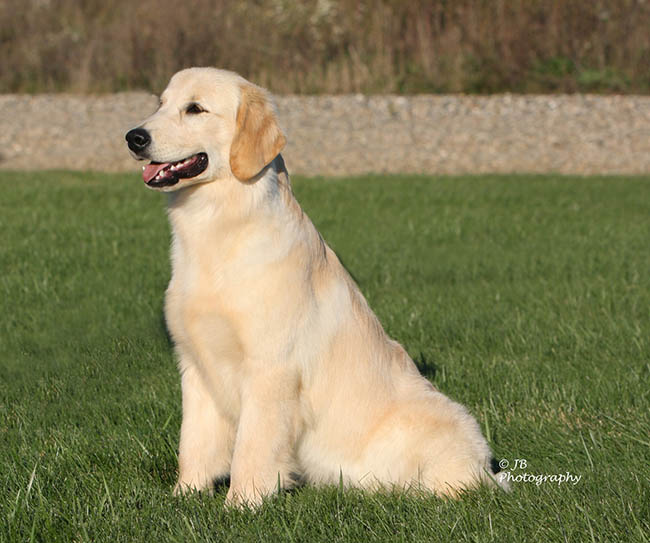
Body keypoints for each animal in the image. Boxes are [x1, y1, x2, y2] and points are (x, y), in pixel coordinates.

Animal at [124, 69, 504, 510]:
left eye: (195, 109)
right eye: (160, 104)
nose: (133, 137)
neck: (219, 229)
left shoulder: (270, 369)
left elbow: (252, 447)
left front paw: (242, 503)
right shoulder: (195, 364)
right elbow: (194, 442)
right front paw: (185, 495)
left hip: (441, 423)